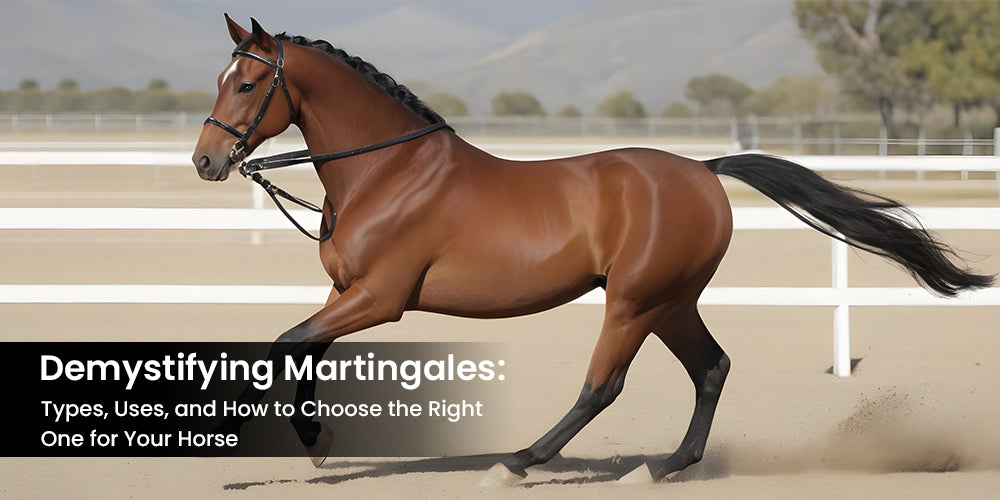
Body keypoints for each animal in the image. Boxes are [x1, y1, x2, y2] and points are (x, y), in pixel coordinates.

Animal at [192, 16, 993, 486]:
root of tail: (704, 170)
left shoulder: (381, 300)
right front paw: (317, 442)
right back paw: (667, 466)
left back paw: (521, 462)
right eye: (223, 77)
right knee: (711, 367)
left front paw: (307, 444)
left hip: (634, 301)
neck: (387, 171)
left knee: (604, 385)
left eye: (251, 82)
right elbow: (300, 350)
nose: (206, 161)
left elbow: (285, 344)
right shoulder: (346, 295)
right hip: (669, 302)